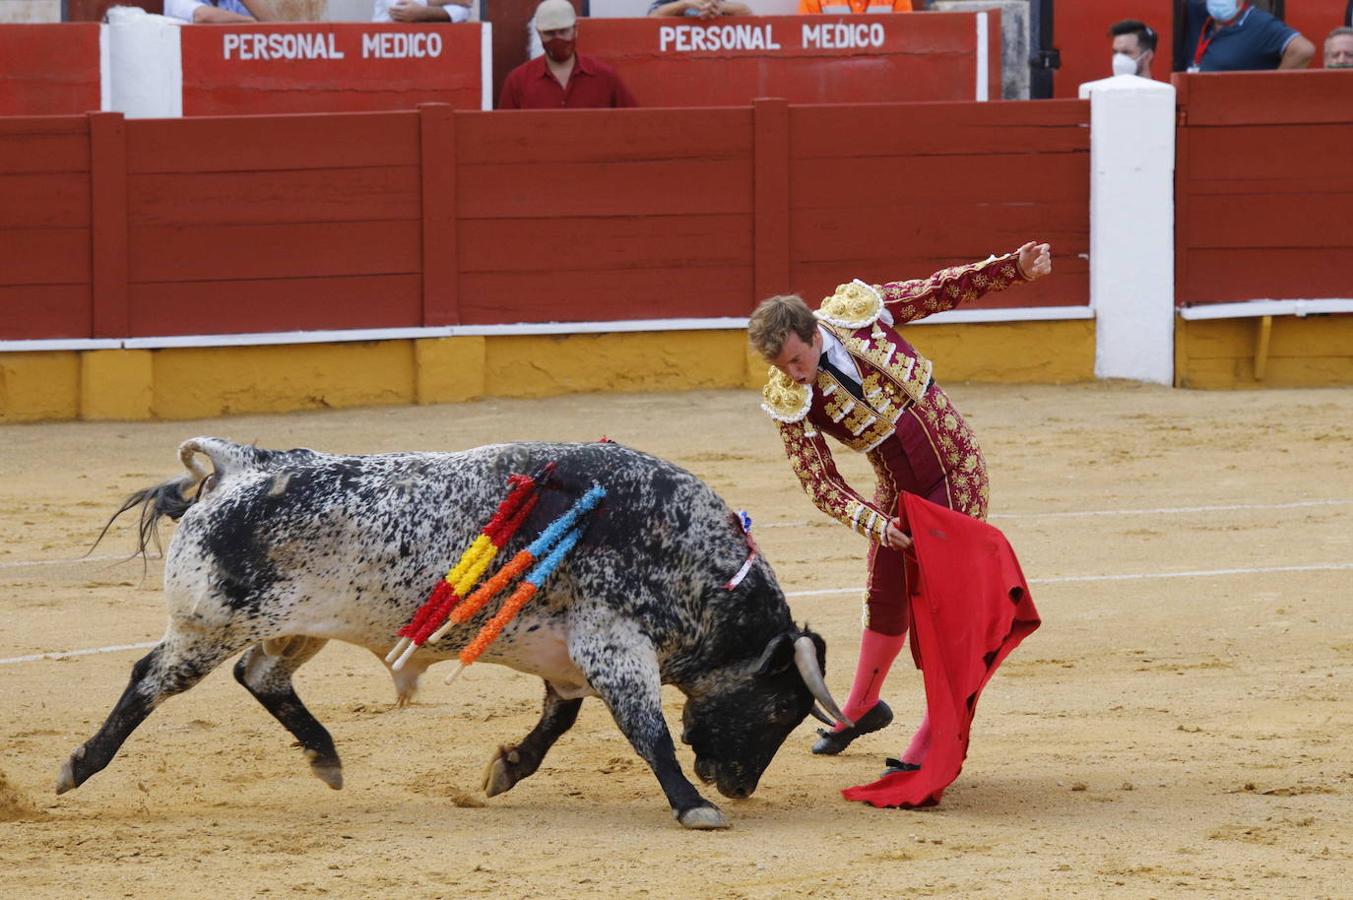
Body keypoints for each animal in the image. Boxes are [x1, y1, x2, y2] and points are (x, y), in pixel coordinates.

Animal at [63, 435, 849, 828]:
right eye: (780, 709)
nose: (738, 785)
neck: (690, 558)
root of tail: (242, 467)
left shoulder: (569, 655)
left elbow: (557, 721)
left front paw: (505, 770)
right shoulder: (612, 645)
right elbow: (646, 729)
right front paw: (693, 806)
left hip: (300, 624)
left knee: (258, 675)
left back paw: (325, 757)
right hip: (211, 623)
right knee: (150, 679)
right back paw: (78, 767)